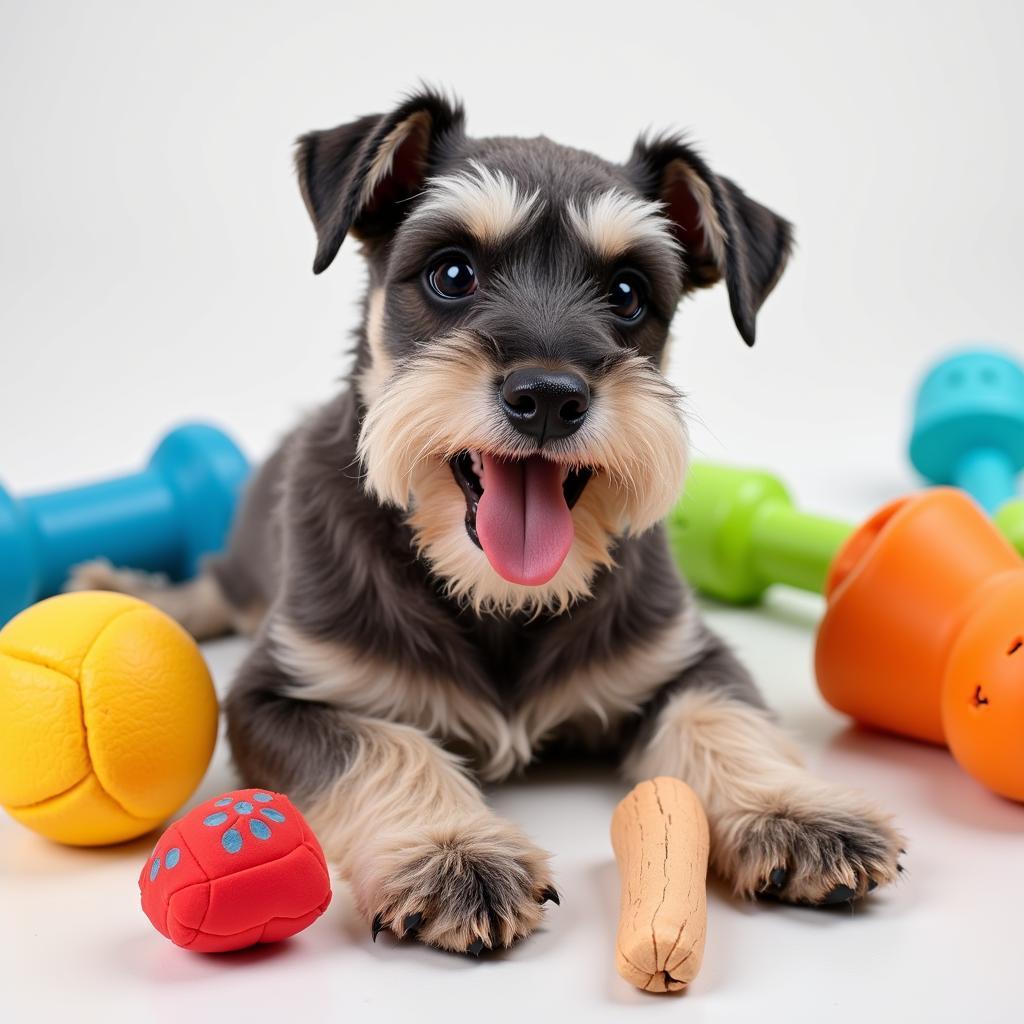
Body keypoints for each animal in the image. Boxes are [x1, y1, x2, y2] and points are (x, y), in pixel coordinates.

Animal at [75, 88, 901, 958]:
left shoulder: (686, 658)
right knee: (210, 587)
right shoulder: (281, 695)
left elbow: (724, 717)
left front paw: (794, 811)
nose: (547, 397)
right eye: (451, 272)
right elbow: (385, 743)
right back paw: (129, 587)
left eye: (629, 292)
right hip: (241, 576)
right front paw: (453, 852)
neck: (497, 599)